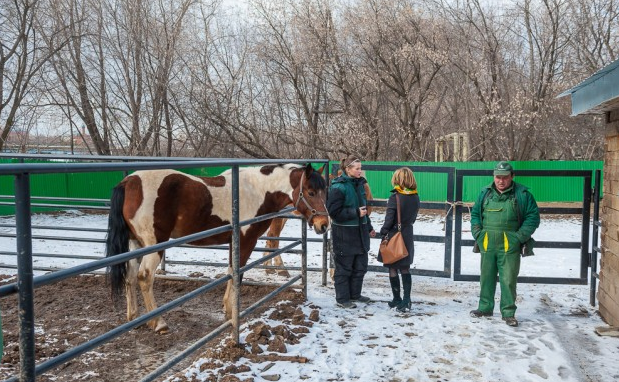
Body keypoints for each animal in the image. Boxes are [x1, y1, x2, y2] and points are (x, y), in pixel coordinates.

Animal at [106, 163, 330, 332]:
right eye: (310, 192)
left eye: (324, 192)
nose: (324, 225)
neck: (257, 190)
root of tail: (128, 182)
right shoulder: (246, 241)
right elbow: (238, 273)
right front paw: (232, 312)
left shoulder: (233, 242)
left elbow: (231, 271)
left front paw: (227, 309)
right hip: (154, 245)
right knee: (144, 277)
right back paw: (158, 322)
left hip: (136, 244)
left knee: (130, 276)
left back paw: (134, 318)